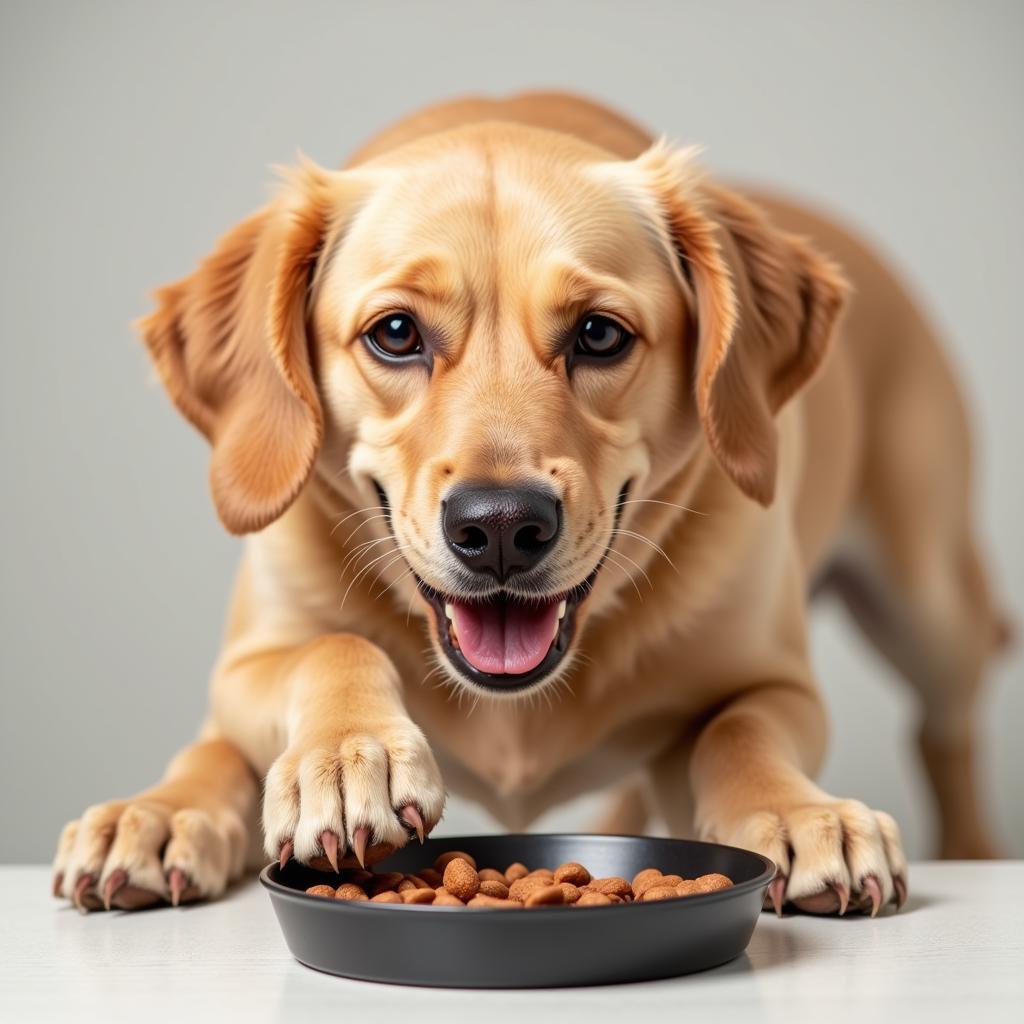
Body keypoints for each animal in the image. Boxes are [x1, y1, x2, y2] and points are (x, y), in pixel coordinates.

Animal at [51, 94, 1003, 913]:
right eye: (395, 333)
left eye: (600, 333)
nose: (501, 526)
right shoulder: (244, 670)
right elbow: (309, 664)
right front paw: (272, 779)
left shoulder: (778, 683)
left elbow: (742, 731)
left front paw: (801, 815)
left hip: (926, 608)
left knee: (949, 729)